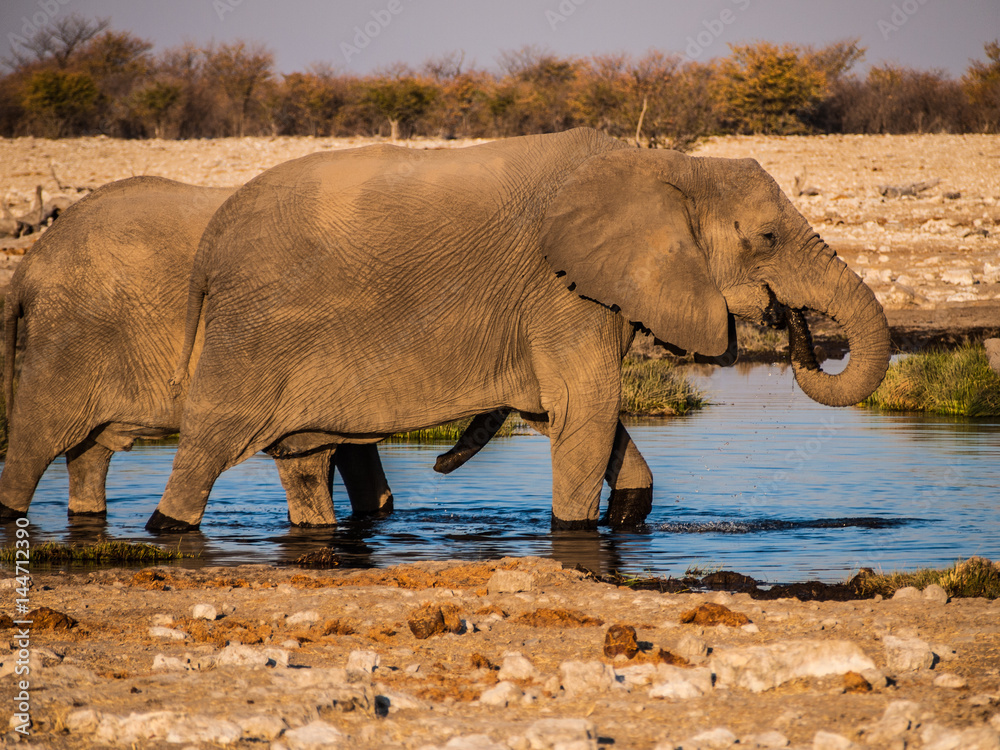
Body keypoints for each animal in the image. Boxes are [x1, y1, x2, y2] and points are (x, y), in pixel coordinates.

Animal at [146, 128, 890, 533]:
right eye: (766, 238)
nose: (790, 321)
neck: (665, 165)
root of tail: (212, 235)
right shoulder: (560, 290)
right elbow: (586, 413)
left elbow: (581, 419)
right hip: (252, 333)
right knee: (207, 444)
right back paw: (166, 527)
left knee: (303, 461)